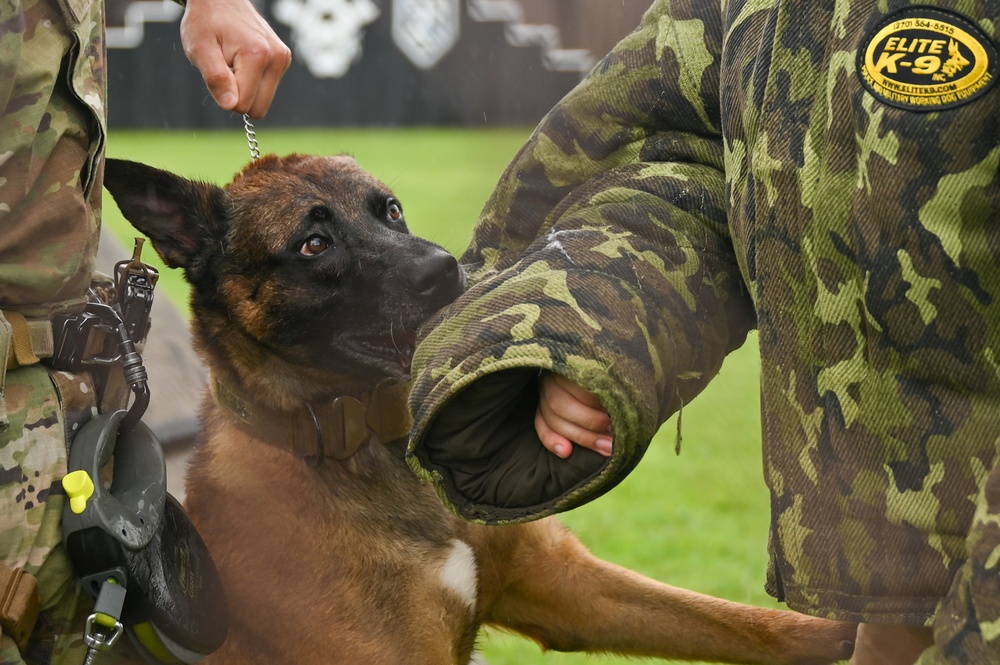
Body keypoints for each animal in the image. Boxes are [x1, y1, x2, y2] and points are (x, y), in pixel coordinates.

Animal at [101, 156, 856, 664]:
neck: (361, 446)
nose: (445, 270)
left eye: (390, 210)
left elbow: (750, 624)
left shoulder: (562, 584)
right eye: (313, 244)